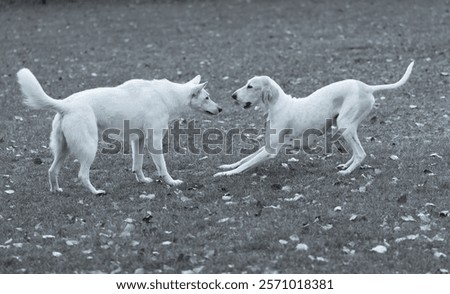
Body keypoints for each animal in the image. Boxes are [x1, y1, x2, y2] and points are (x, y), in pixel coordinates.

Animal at [17, 68, 221, 194]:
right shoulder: (154, 141)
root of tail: (65, 105)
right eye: (207, 97)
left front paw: (143, 181)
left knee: (52, 171)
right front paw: (171, 183)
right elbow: (162, 167)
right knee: (82, 175)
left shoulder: (138, 140)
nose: (220, 109)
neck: (168, 96)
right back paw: (96, 192)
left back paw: (56, 190)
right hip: (89, 148)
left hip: (63, 150)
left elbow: (137, 165)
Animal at [215, 60, 414, 177]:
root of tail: (367, 87)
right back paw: (345, 166)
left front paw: (227, 174)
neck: (278, 105)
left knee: (360, 154)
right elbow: (244, 160)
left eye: (250, 86)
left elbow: (245, 164)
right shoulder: (267, 146)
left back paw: (347, 173)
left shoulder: (271, 150)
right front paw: (226, 167)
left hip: (344, 125)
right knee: (356, 152)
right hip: (344, 127)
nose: (233, 96)